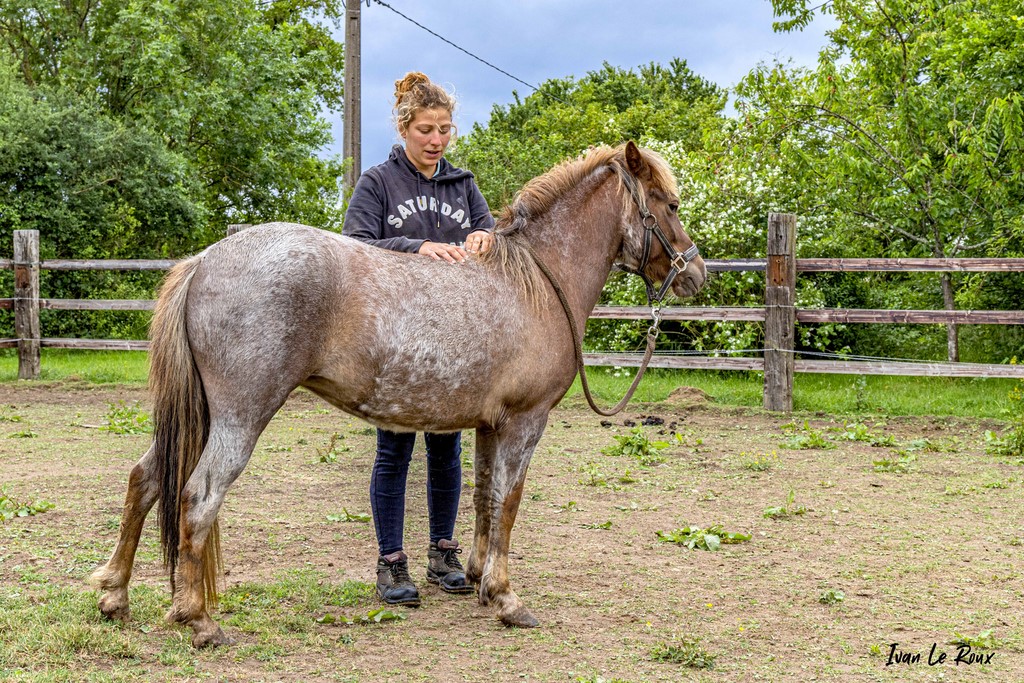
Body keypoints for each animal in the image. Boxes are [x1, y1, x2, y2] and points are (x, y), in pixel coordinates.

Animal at [88, 140, 704, 647]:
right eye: (671, 204)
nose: (696, 273)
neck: (535, 282)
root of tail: (204, 261)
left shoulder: (489, 425)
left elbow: (483, 498)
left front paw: (477, 579)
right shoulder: (525, 422)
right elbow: (508, 502)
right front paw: (507, 600)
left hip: (200, 417)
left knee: (146, 480)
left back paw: (115, 595)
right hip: (240, 417)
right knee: (198, 497)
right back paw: (199, 620)